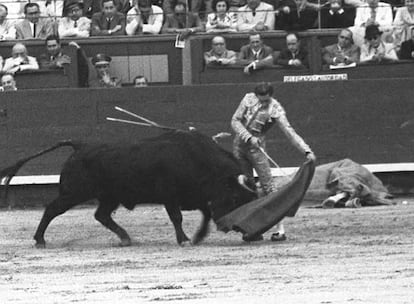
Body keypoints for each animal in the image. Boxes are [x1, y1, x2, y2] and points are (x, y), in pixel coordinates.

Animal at [0, 131, 258, 247]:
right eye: (236, 198)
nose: (246, 232)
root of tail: (80, 145)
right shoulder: (170, 196)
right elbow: (177, 217)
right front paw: (184, 239)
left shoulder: (195, 196)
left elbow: (204, 213)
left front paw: (197, 236)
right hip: (73, 193)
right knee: (52, 209)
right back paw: (39, 239)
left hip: (109, 196)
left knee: (101, 215)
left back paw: (125, 238)